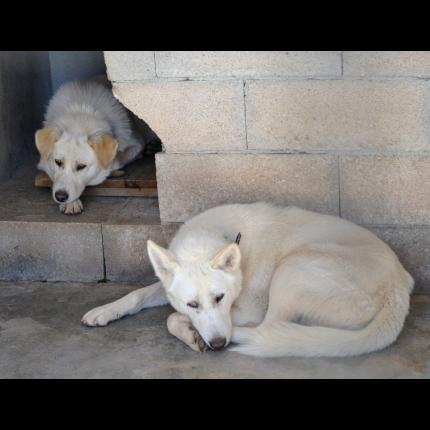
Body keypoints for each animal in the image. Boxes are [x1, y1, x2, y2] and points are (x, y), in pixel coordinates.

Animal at [34, 77, 144, 215]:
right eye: (58, 162)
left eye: (81, 166)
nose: (60, 197)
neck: (81, 109)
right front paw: (71, 203)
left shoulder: (137, 144)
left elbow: (117, 160)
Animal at [81, 203, 414, 358]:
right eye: (193, 303)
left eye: (220, 298)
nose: (218, 345)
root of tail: (398, 289)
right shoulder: (169, 286)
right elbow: (141, 294)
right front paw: (105, 311)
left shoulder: (246, 309)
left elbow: (171, 318)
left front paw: (190, 331)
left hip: (292, 267)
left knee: (270, 328)